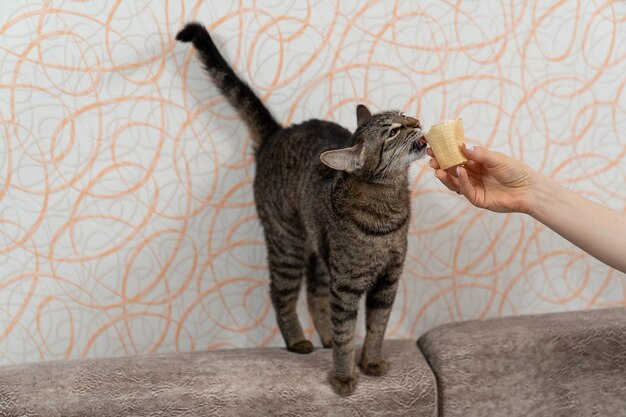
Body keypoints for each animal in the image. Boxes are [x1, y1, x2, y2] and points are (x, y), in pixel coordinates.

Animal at [178, 21, 426, 394]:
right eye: (393, 131)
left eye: (403, 115)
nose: (416, 121)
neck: (389, 208)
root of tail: (276, 133)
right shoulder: (347, 284)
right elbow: (347, 332)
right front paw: (343, 376)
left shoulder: (387, 280)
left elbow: (377, 327)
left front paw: (370, 362)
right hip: (287, 245)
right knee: (281, 293)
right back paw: (297, 340)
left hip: (320, 255)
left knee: (313, 294)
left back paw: (323, 337)